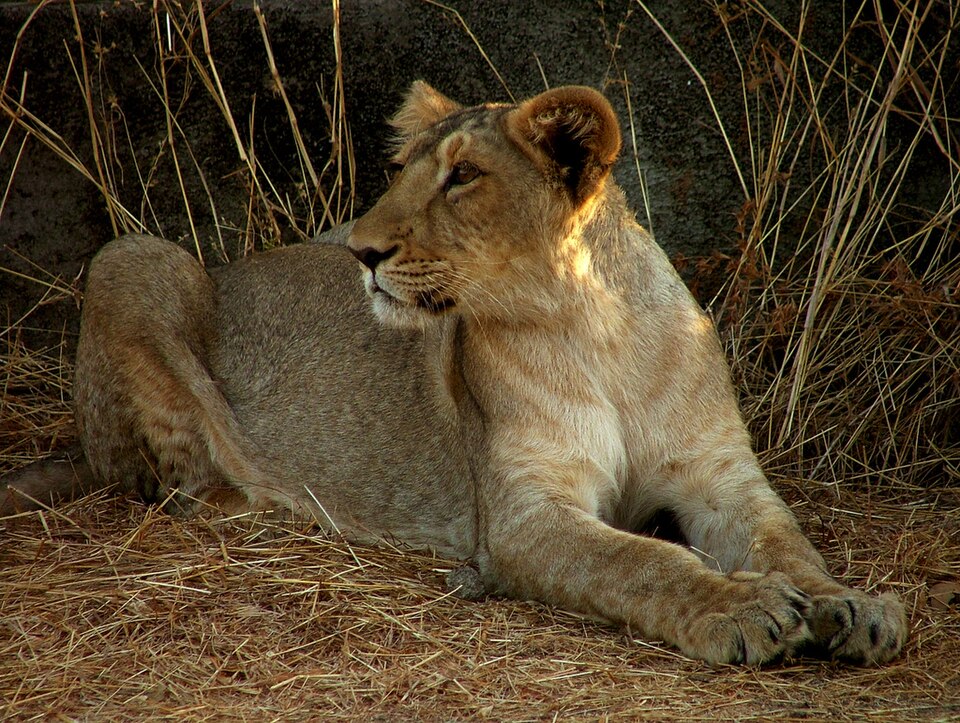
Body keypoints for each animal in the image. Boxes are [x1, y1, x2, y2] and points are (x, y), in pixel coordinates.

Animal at [1, 81, 906, 666]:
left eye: (464, 176)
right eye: (404, 171)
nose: (361, 250)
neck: (594, 329)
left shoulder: (720, 475)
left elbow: (785, 538)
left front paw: (852, 604)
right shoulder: (522, 515)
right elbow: (643, 562)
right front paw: (743, 607)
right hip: (134, 257)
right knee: (179, 478)